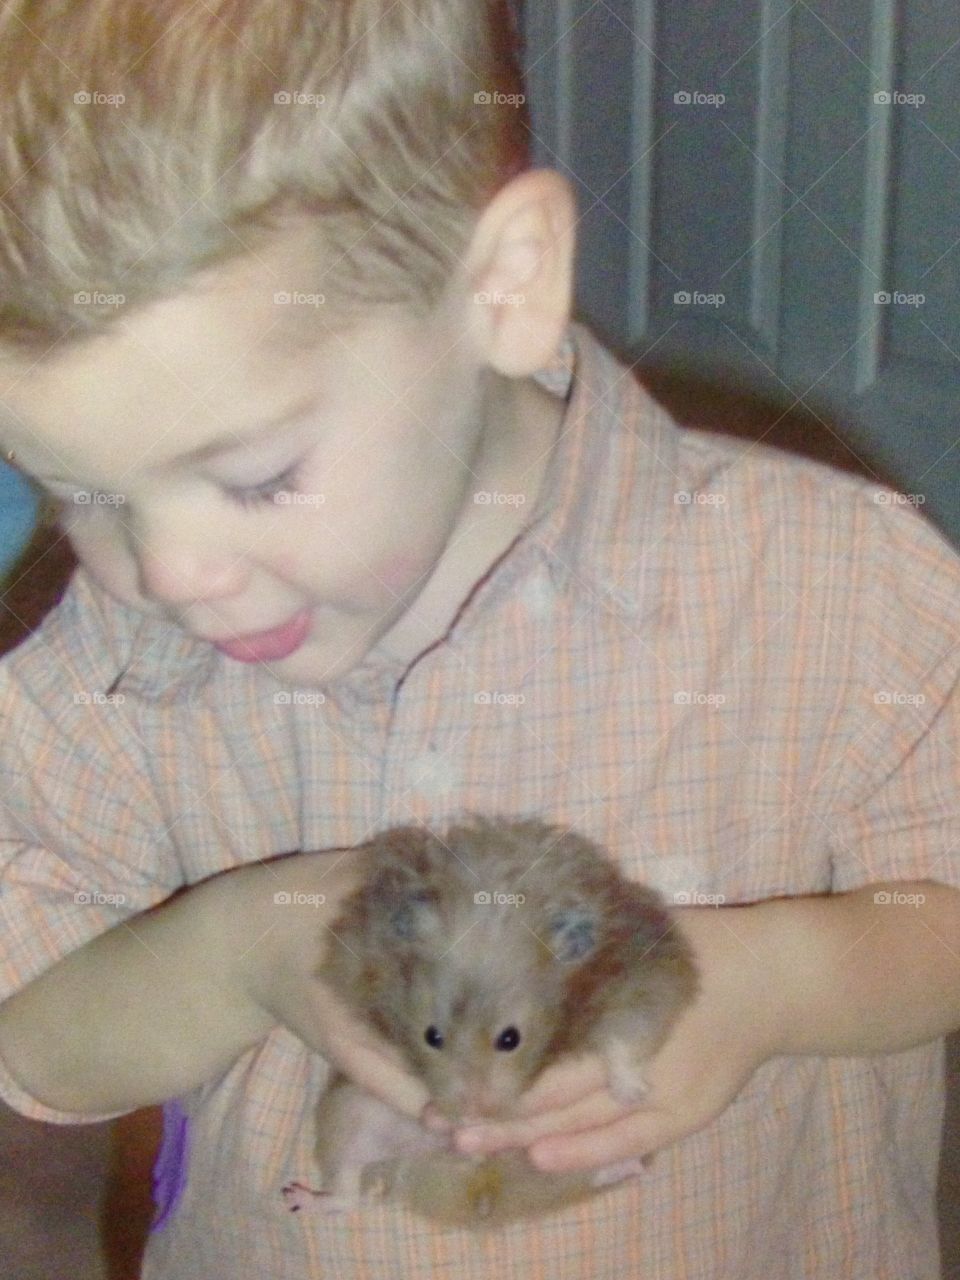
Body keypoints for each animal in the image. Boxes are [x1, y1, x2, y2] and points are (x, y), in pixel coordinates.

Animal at [310, 815, 699, 1226]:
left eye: (511, 1039)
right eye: (431, 1036)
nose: (473, 1113)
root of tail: (481, 1187)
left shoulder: (643, 977)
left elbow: (624, 1040)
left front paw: (630, 1095)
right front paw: (467, 1125)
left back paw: (630, 1165)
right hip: (348, 1113)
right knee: (349, 1187)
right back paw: (304, 1198)